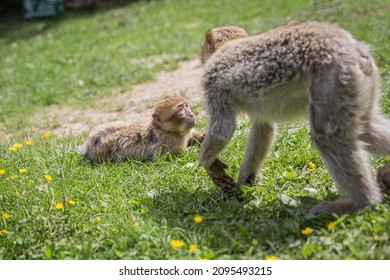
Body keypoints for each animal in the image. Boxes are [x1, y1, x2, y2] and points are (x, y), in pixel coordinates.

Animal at [198, 22, 390, 214]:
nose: (201, 58)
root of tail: (356, 50)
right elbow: (264, 128)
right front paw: (245, 181)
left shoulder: (212, 80)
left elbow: (223, 127)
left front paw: (207, 163)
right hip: (357, 85)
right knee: (365, 128)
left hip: (334, 78)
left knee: (329, 138)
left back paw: (361, 202)